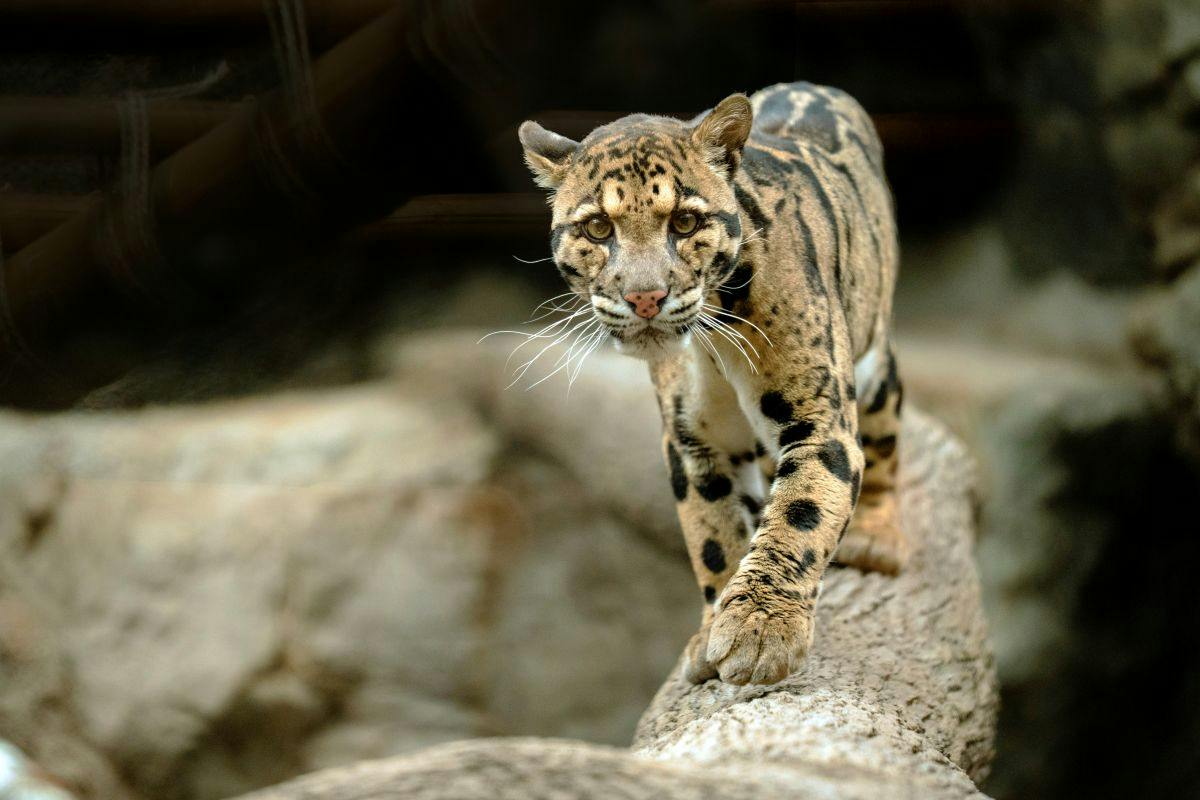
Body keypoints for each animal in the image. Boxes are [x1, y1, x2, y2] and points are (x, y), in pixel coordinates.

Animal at [517, 82, 906, 686]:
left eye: (684, 223)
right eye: (598, 228)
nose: (645, 296)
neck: (712, 340)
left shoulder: (818, 418)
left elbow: (802, 511)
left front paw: (760, 628)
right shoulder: (691, 440)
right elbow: (712, 532)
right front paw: (715, 626)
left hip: (875, 365)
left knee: (886, 441)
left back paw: (877, 536)